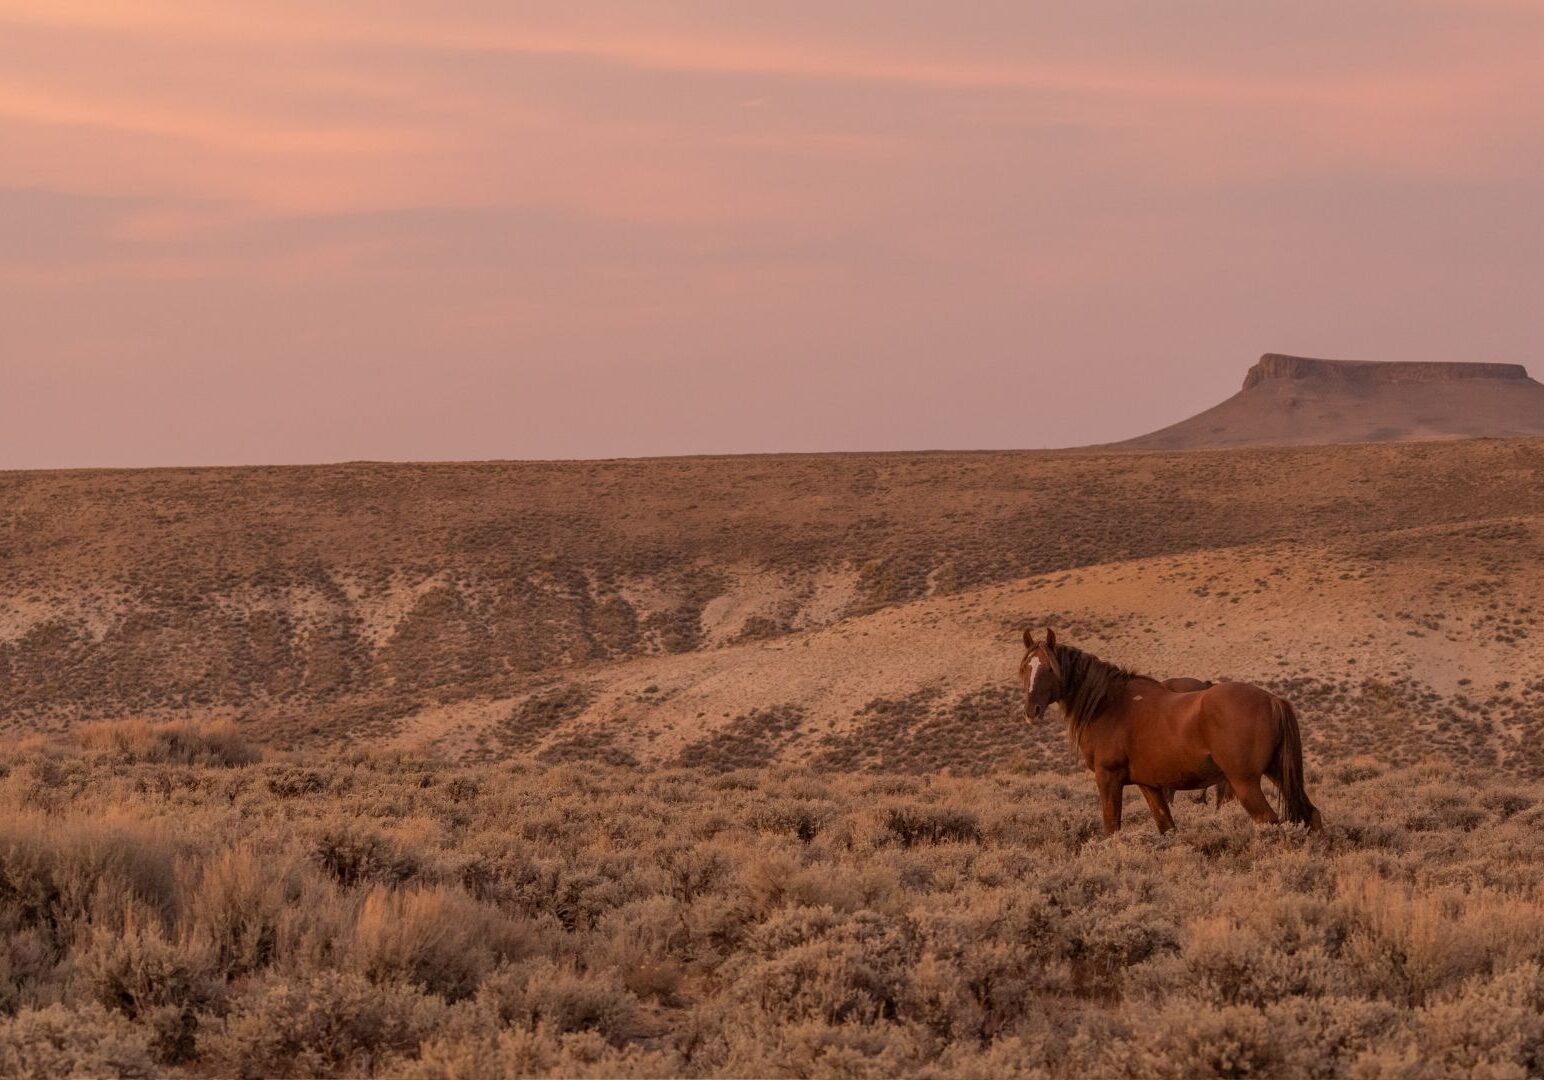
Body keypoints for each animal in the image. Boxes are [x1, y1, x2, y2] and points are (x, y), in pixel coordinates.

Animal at [1019, 624, 1321, 834]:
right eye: (1025, 668)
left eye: (1049, 668)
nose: (1032, 710)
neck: (1109, 704)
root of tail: (1272, 699)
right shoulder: (1150, 785)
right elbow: (1167, 828)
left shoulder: (1108, 778)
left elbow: (1112, 829)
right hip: (1277, 772)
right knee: (1311, 815)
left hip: (1244, 782)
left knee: (1271, 823)